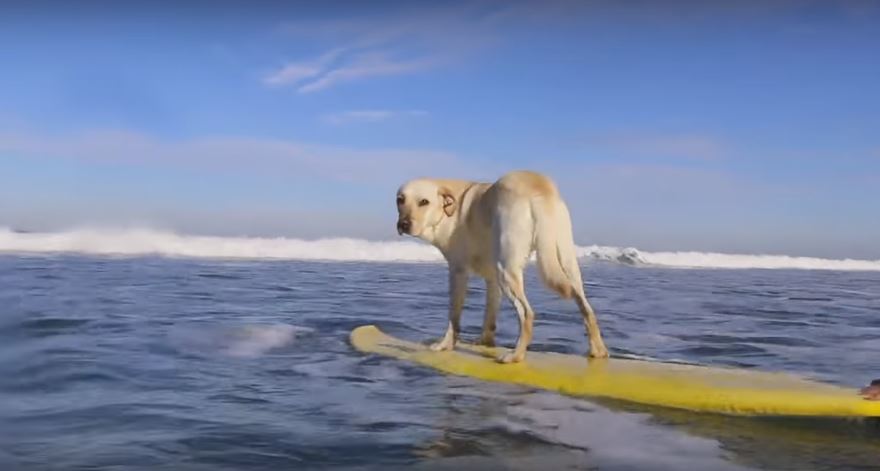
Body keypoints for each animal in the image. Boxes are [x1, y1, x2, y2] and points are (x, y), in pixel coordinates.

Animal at [396, 170, 608, 366]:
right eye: (400, 200)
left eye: (424, 202)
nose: (403, 224)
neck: (449, 209)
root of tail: (538, 184)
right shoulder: (492, 279)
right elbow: (489, 316)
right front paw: (485, 343)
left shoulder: (458, 272)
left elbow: (453, 316)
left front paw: (446, 345)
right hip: (567, 265)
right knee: (587, 309)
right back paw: (598, 351)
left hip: (506, 270)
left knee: (527, 314)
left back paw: (516, 355)